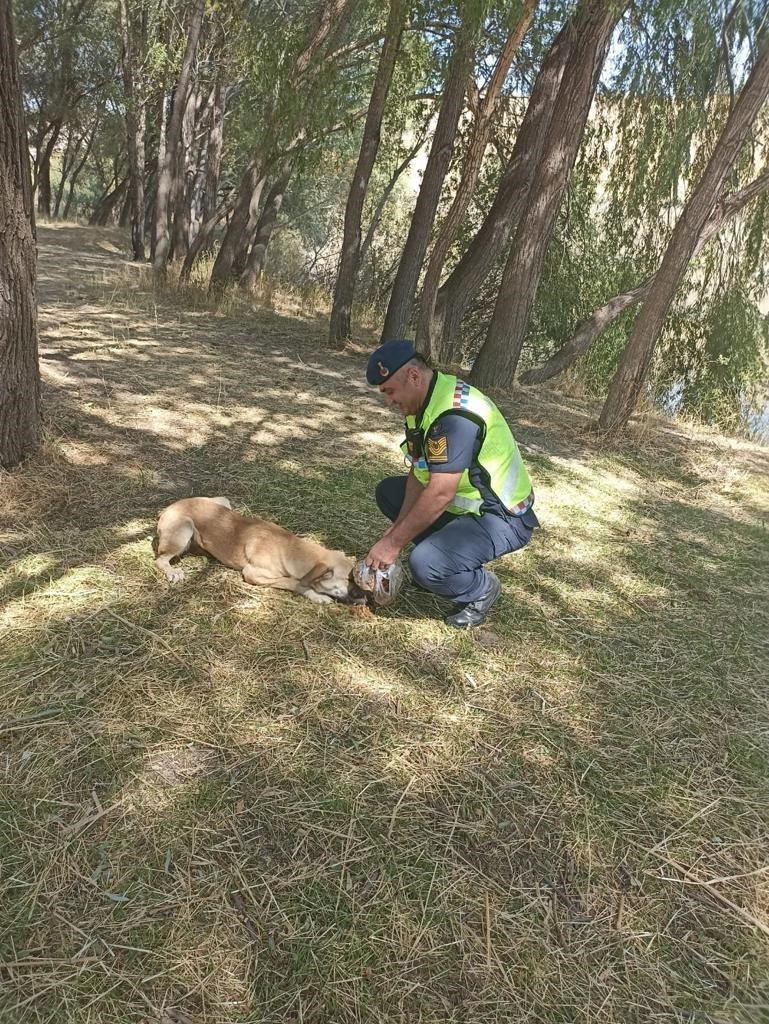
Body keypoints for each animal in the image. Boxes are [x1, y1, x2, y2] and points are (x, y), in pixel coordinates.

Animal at [154, 497, 368, 602]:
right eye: (349, 579)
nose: (366, 595)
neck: (291, 549)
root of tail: (168, 507)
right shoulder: (253, 574)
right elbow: (294, 582)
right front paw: (316, 595)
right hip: (184, 528)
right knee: (161, 559)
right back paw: (173, 572)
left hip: (222, 502)